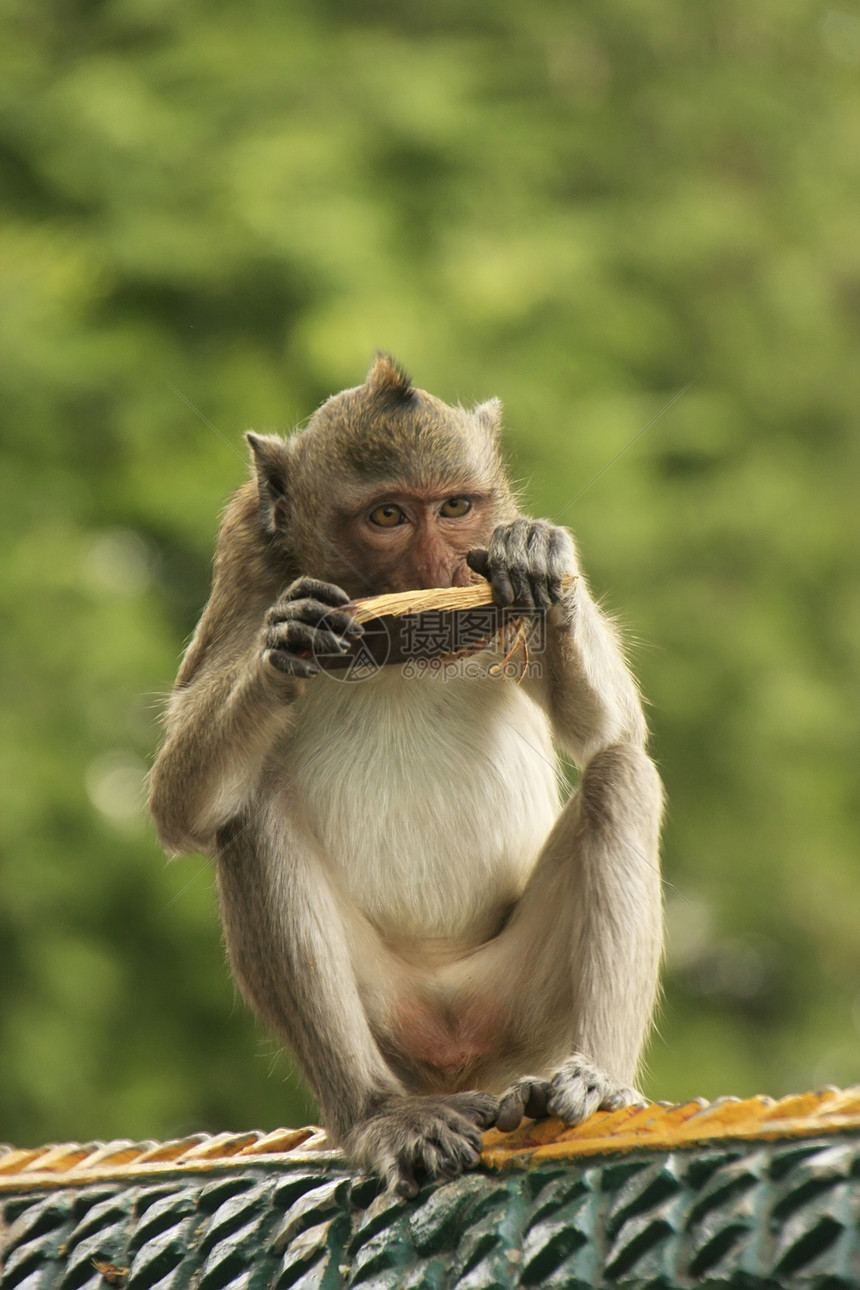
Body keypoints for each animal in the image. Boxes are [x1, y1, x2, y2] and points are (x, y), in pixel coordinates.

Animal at [148, 356, 665, 1197]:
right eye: (388, 515)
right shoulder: (245, 559)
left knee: (621, 775)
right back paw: (376, 1113)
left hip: (516, 1008)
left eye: (456, 507)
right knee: (248, 812)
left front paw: (541, 556)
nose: (436, 569)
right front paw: (284, 643)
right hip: (395, 1017)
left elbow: (611, 729)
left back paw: (591, 1080)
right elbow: (180, 807)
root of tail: (454, 1047)